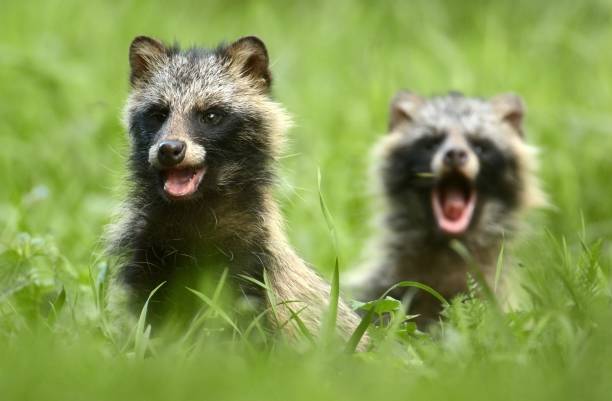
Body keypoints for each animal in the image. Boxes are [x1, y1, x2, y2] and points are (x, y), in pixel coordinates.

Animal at [106, 36, 364, 344]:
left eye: (211, 115)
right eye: (158, 114)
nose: (169, 149)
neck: (193, 209)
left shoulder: (252, 264)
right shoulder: (146, 252)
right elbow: (143, 319)